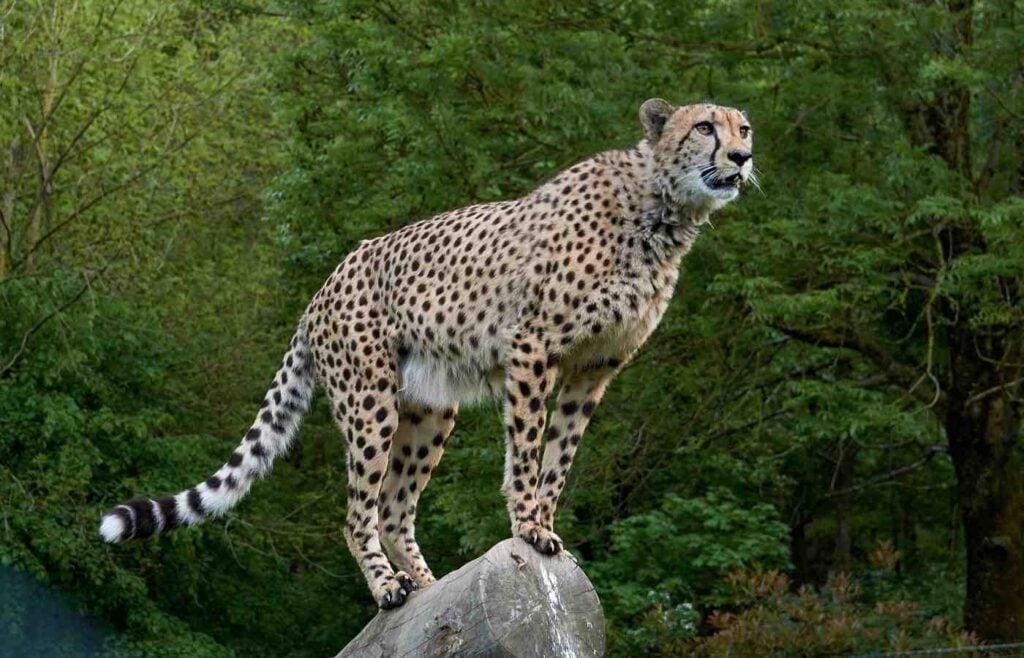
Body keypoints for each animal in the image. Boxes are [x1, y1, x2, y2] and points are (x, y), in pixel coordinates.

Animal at [99, 98, 755, 610]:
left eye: (743, 128)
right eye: (705, 127)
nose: (743, 159)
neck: (662, 210)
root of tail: (323, 286)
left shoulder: (594, 368)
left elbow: (560, 457)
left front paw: (544, 524)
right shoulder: (533, 346)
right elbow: (527, 449)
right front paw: (527, 525)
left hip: (431, 407)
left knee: (393, 507)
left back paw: (430, 584)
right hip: (370, 399)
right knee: (358, 513)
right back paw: (389, 588)